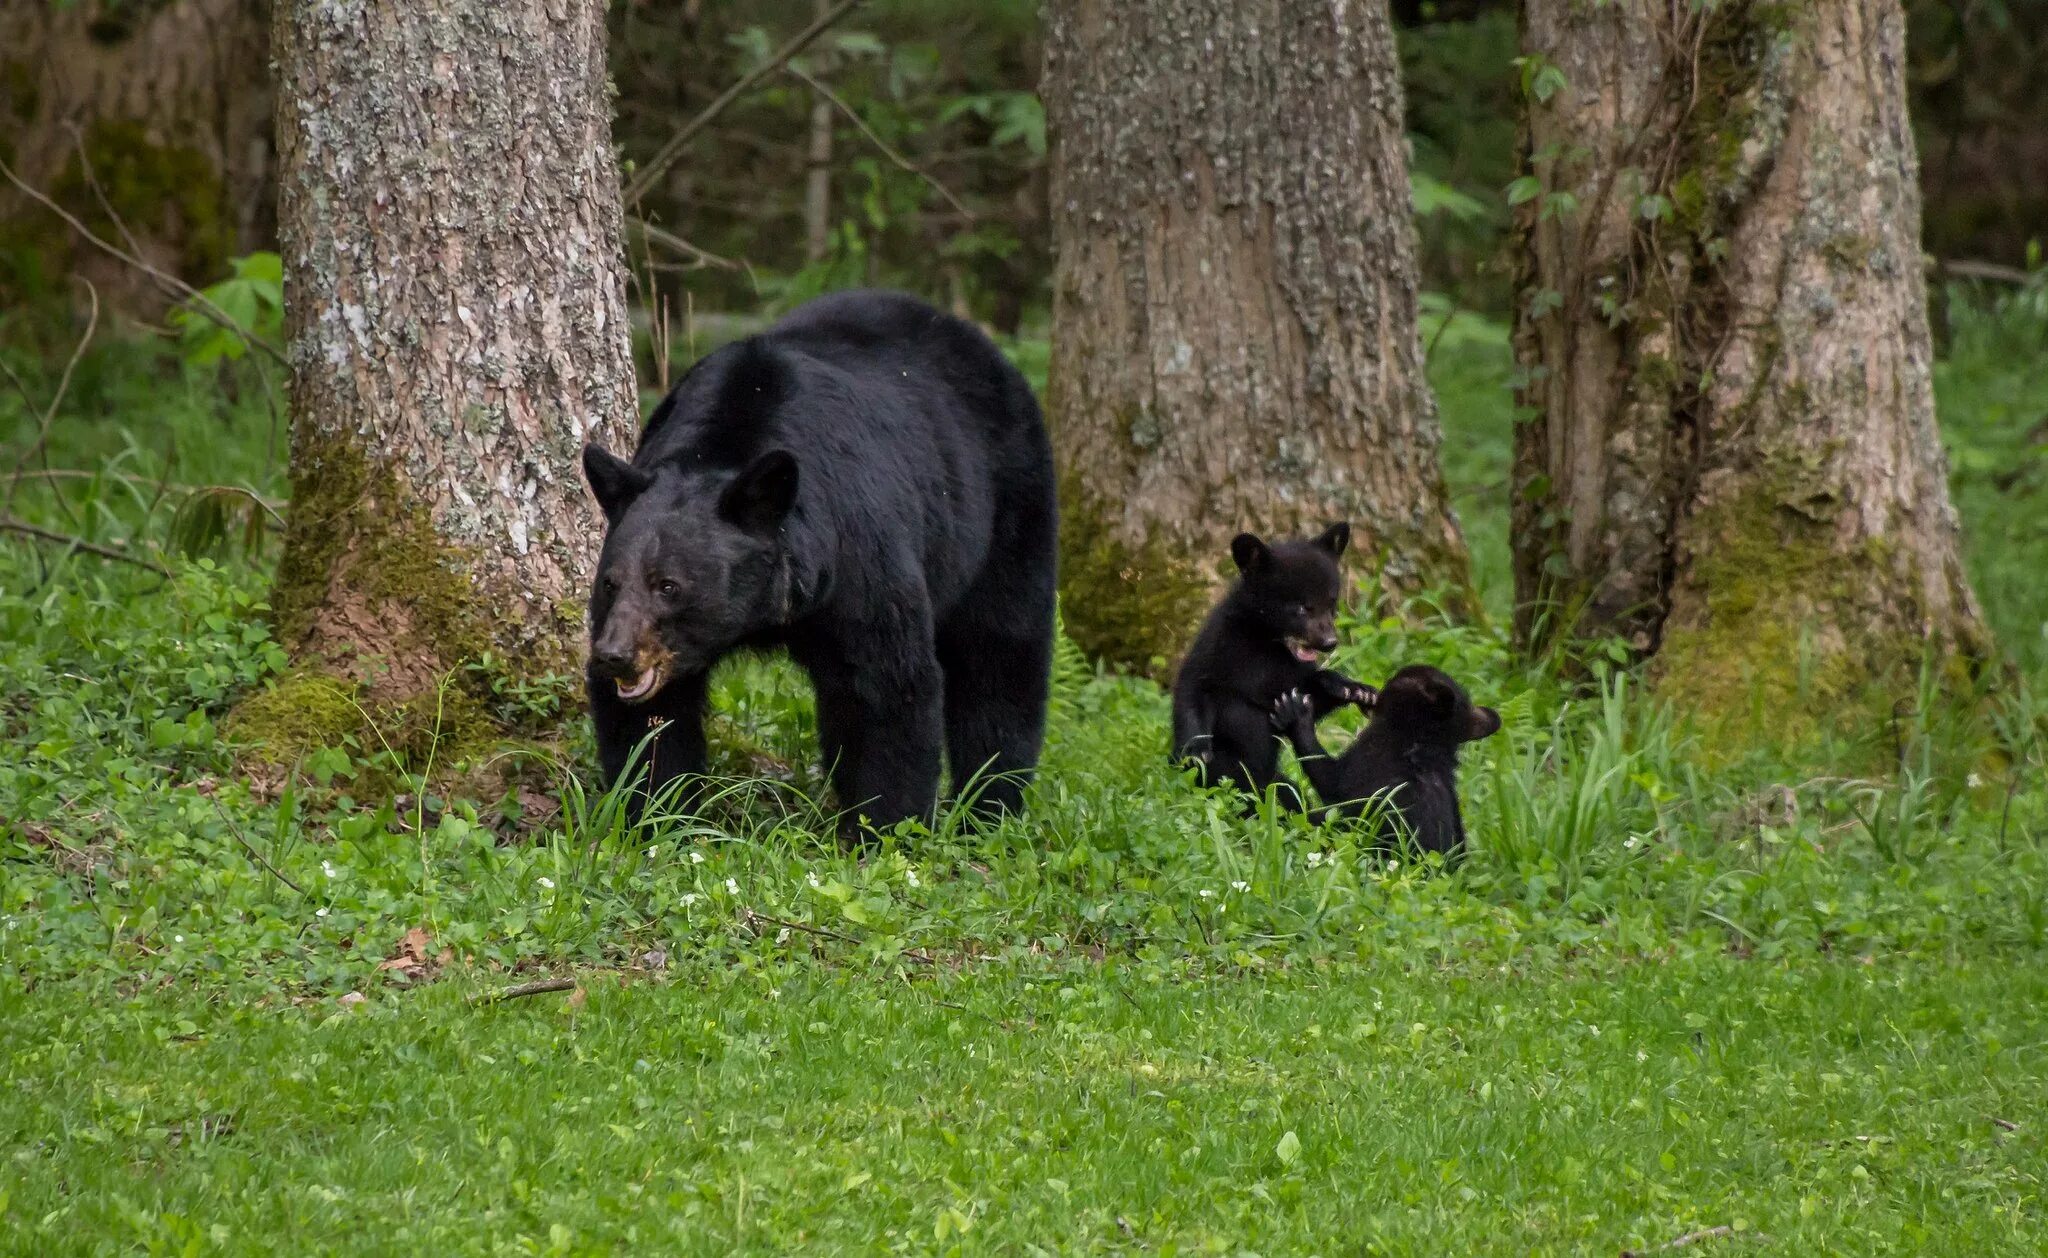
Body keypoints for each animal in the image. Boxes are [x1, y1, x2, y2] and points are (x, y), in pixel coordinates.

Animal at [581, 286, 1048, 840]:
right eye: (611, 583)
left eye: (668, 585)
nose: (614, 654)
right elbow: (652, 721)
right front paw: (657, 816)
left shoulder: (858, 555)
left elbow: (886, 687)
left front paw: (886, 827)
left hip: (1007, 504)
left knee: (1001, 652)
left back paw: (991, 803)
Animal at [1171, 524, 1376, 807]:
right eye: (1301, 607)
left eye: (1331, 602)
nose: (1329, 643)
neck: (1267, 643)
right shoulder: (1218, 647)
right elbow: (1192, 689)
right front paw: (1197, 750)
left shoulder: (1288, 674)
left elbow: (1305, 696)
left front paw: (1354, 689)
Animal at [1261, 663, 1507, 852]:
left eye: (1393, 680)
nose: (1375, 693)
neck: (1424, 744)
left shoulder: (1366, 761)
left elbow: (1329, 779)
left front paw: (1296, 714)